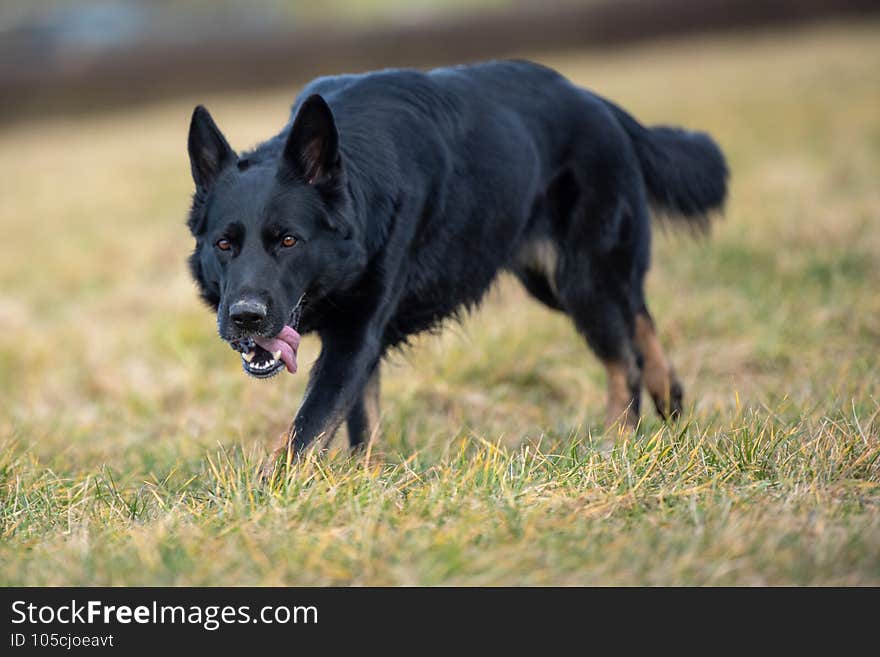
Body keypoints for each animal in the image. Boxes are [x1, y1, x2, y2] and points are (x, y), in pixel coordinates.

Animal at [186, 60, 728, 462]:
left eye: (289, 241)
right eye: (224, 245)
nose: (245, 318)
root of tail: (595, 100)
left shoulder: (355, 337)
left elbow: (305, 432)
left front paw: (275, 499)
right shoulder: (360, 344)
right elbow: (360, 424)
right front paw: (365, 482)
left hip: (580, 278)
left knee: (623, 359)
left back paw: (617, 443)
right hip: (552, 282)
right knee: (637, 311)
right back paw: (669, 395)